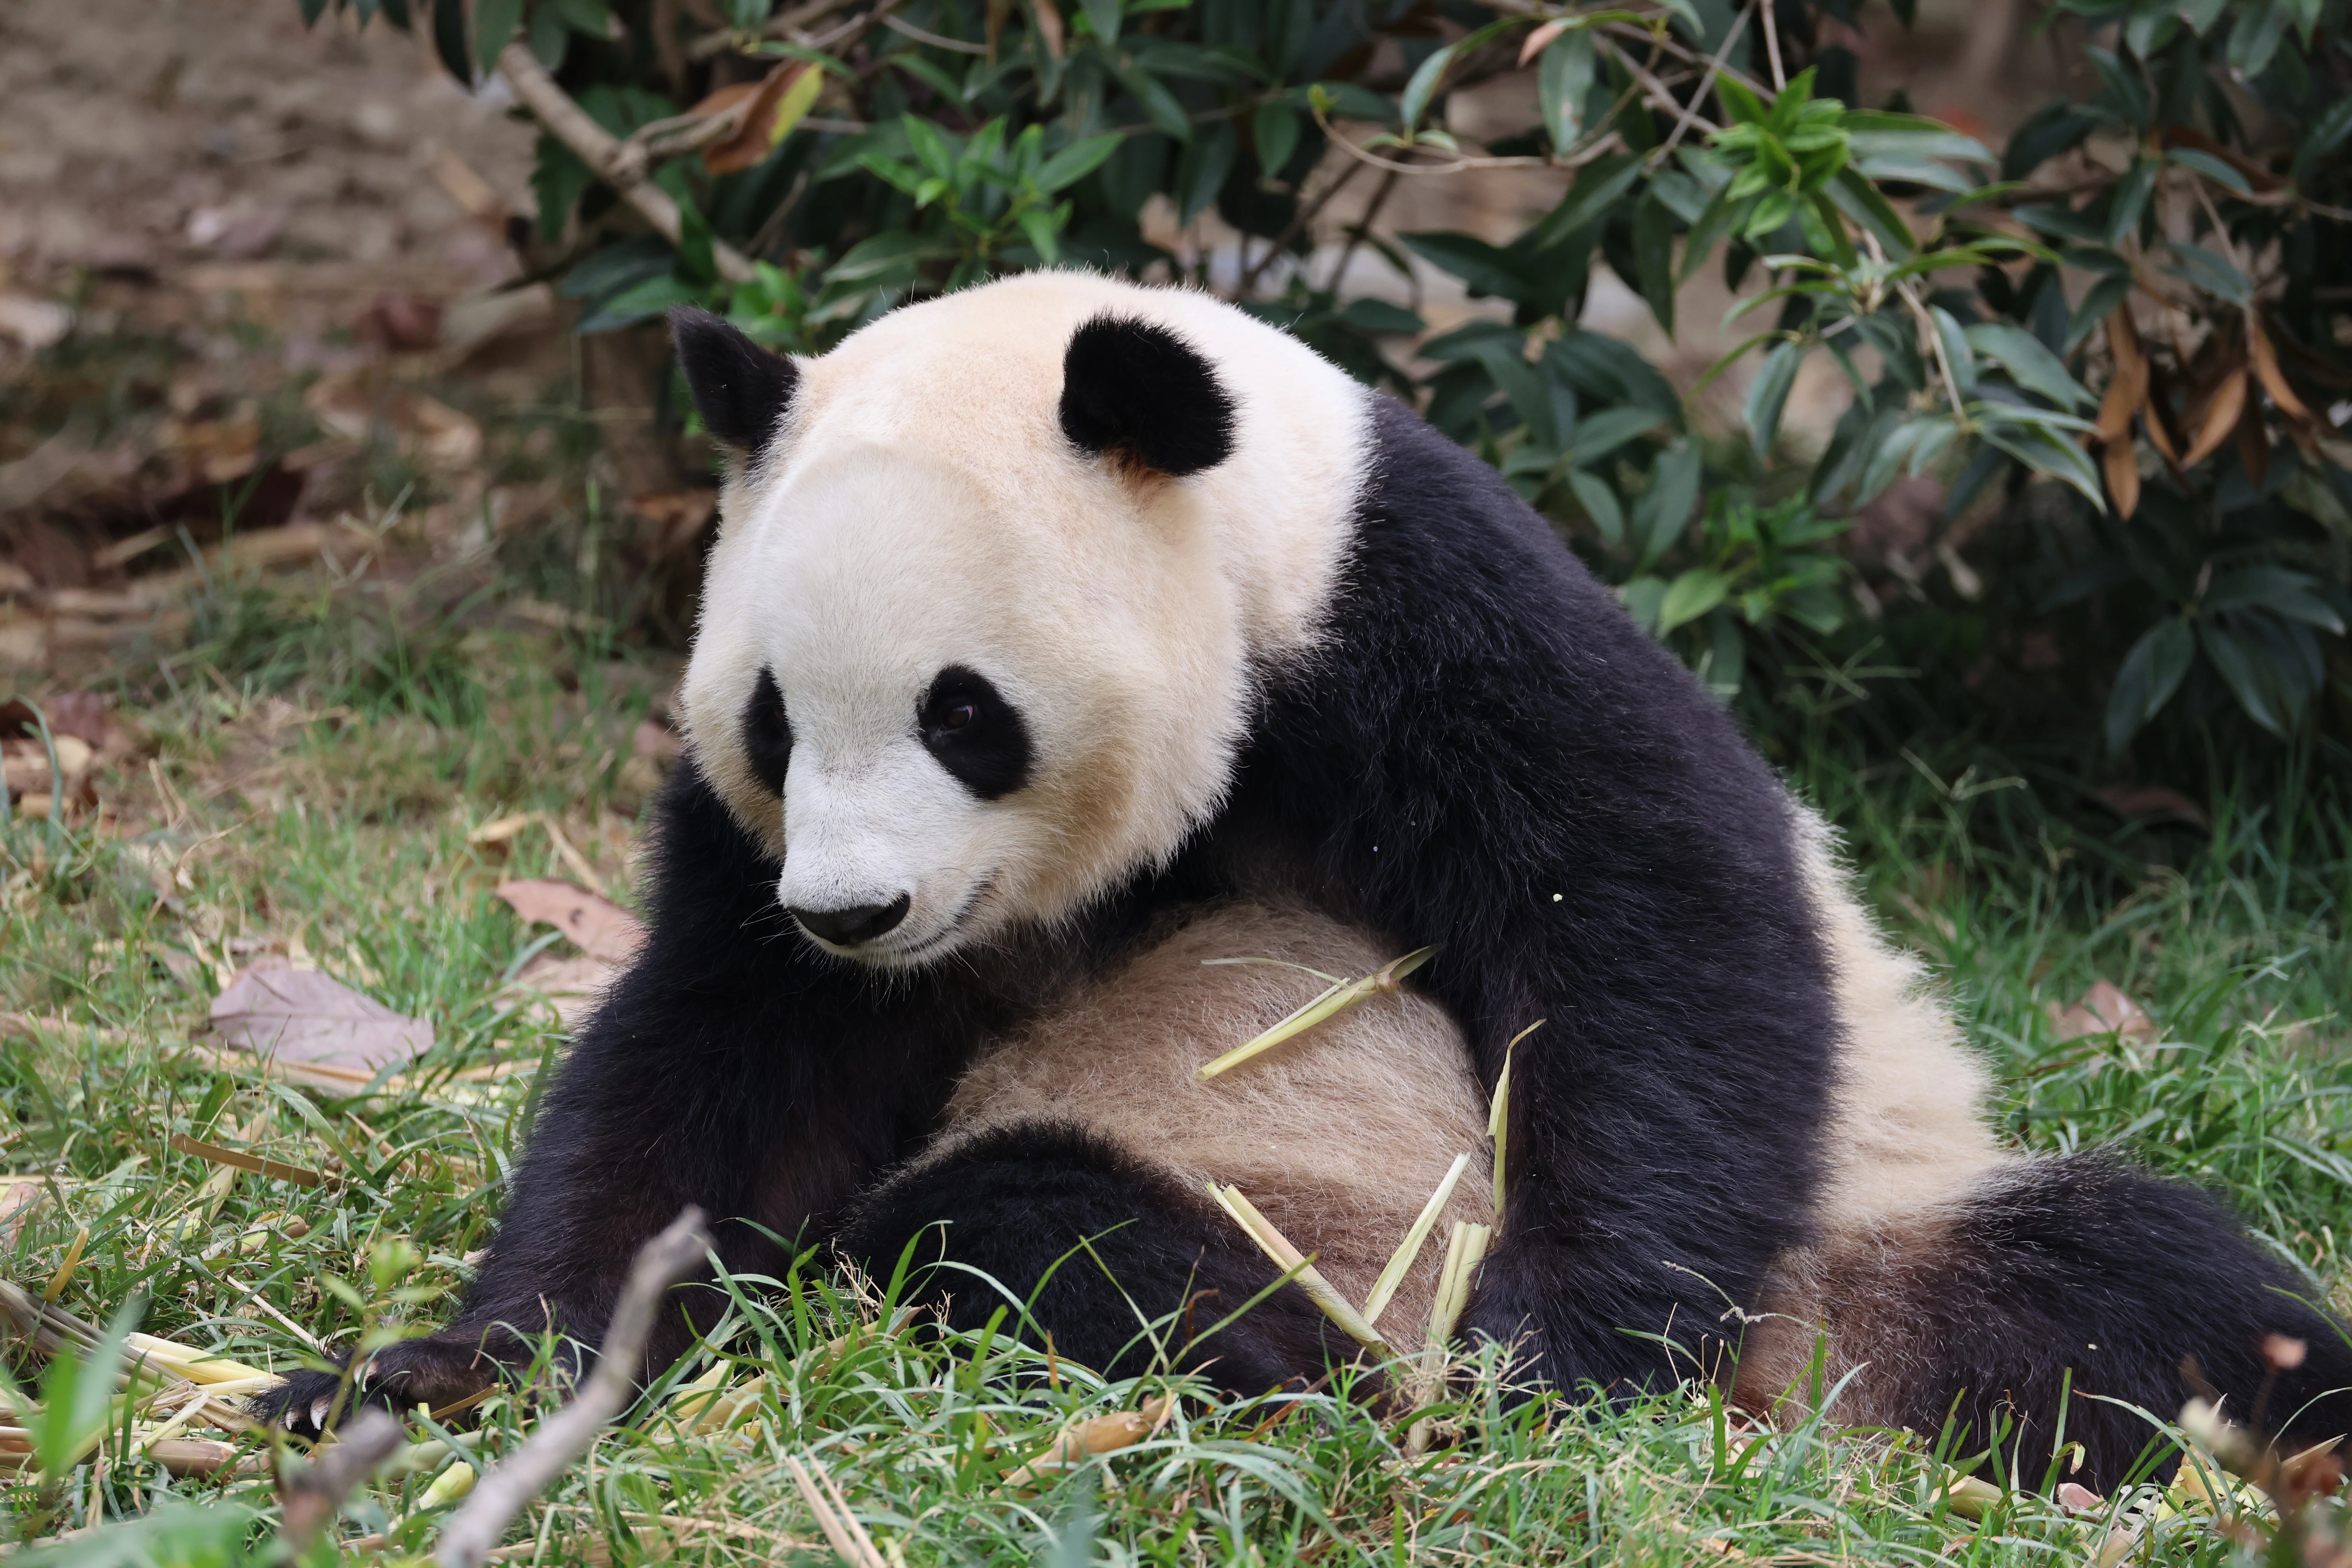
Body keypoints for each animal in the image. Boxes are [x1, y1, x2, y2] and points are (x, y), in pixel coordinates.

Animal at [266, 272, 2352, 1487]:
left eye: (964, 712)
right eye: (774, 720)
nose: (858, 912)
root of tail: (1793, 1388)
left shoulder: (1408, 618)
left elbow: (1651, 913)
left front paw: (1559, 1358)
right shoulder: (760, 874)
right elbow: (713, 1071)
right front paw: (453, 1368)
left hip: (1871, 1231)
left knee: (2147, 1289)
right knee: (1026, 1224)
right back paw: (1280, 1361)